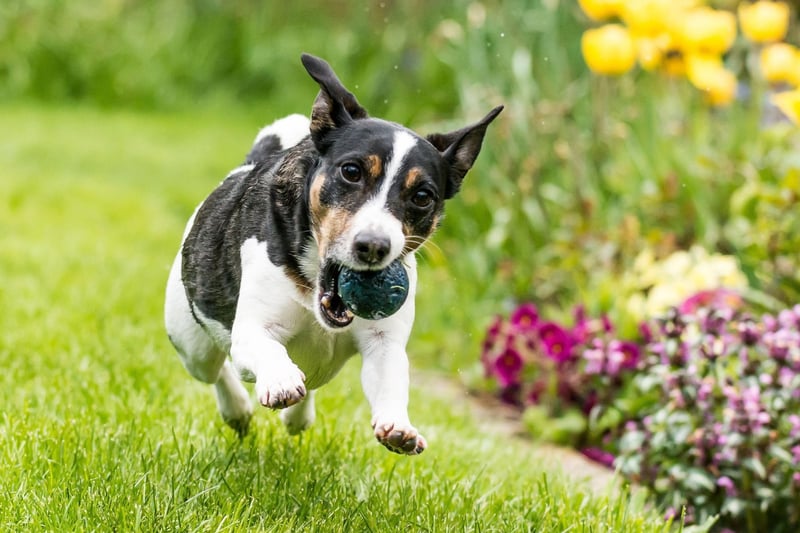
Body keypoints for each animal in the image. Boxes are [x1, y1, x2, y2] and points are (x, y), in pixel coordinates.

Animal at [163, 53, 504, 454]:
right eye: (352, 171)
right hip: (190, 343)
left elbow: (391, 377)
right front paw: (280, 380)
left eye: (422, 196)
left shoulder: (383, 343)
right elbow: (264, 348)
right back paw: (238, 409)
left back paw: (296, 415)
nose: (373, 245)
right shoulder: (250, 331)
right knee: (217, 370)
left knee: (306, 382)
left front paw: (399, 427)